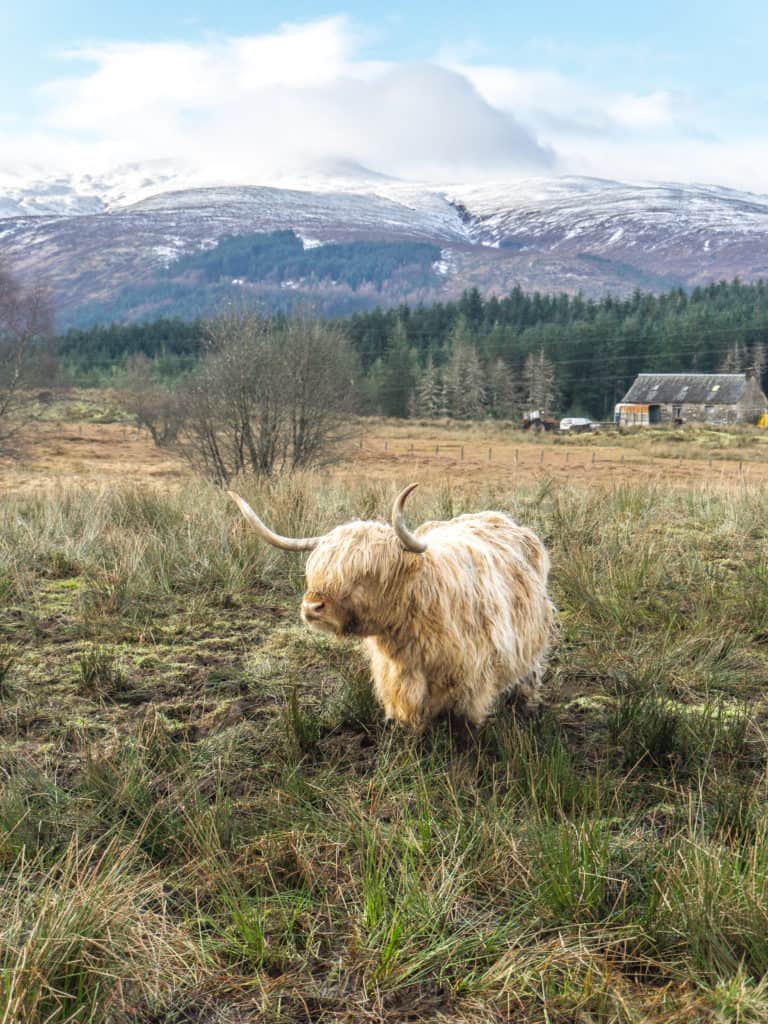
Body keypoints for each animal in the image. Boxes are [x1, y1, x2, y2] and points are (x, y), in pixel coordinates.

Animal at [228, 485, 552, 733]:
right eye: (316, 569)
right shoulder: (399, 680)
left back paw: (526, 705)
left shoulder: (472, 679)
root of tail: (497, 517)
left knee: (529, 671)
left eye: (366, 574)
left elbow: (464, 724)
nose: (313, 606)